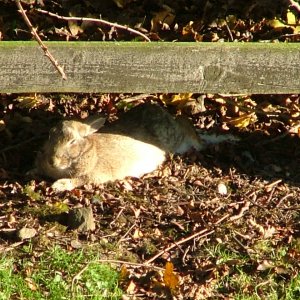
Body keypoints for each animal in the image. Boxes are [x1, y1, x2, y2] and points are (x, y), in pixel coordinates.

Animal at [33, 103, 204, 191]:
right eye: (50, 135)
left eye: (72, 141)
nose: (52, 161)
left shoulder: (95, 175)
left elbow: (78, 180)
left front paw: (59, 185)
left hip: (176, 140)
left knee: (186, 125)